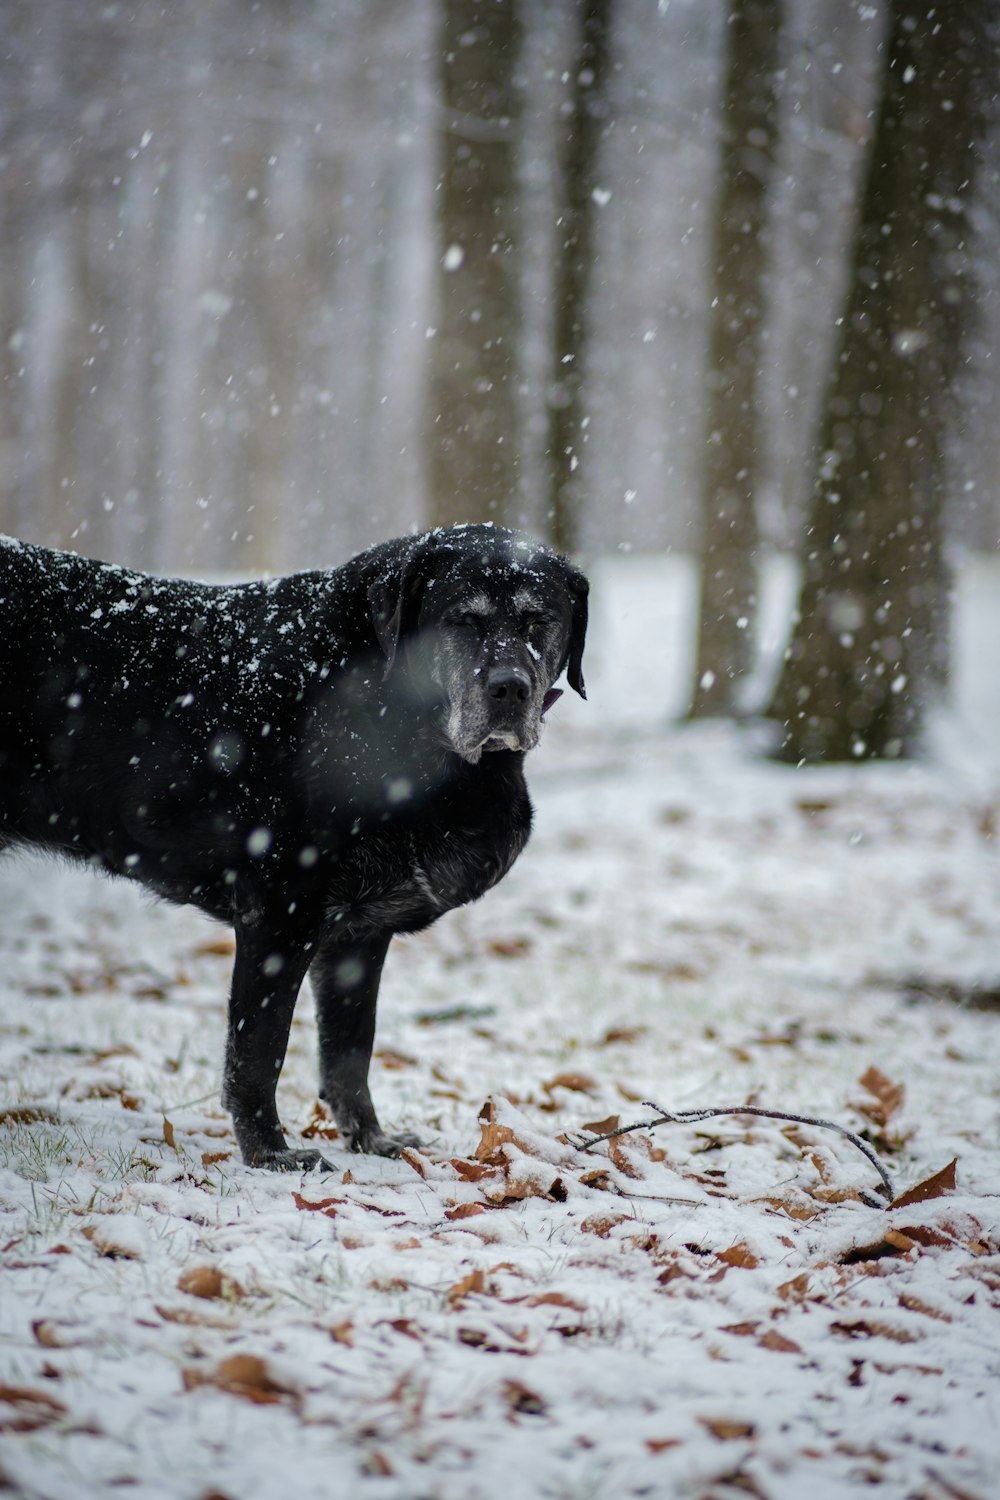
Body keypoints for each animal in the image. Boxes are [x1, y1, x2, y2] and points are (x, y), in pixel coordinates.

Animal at [0, 528, 587, 1170]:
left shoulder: (359, 936)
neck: (387, 702)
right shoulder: (280, 913)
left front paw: (372, 1141)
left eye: (538, 620)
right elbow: (260, 1051)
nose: (510, 687)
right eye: (463, 620)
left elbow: (350, 1050)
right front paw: (269, 1155)